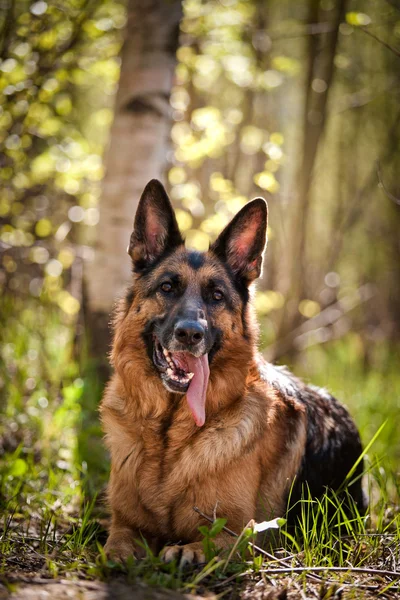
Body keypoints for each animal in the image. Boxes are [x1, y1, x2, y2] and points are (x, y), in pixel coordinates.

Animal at [101, 180, 366, 564]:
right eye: (167, 287)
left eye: (216, 296)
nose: (190, 333)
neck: (169, 434)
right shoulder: (124, 523)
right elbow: (117, 543)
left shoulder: (244, 535)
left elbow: (204, 542)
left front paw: (185, 552)